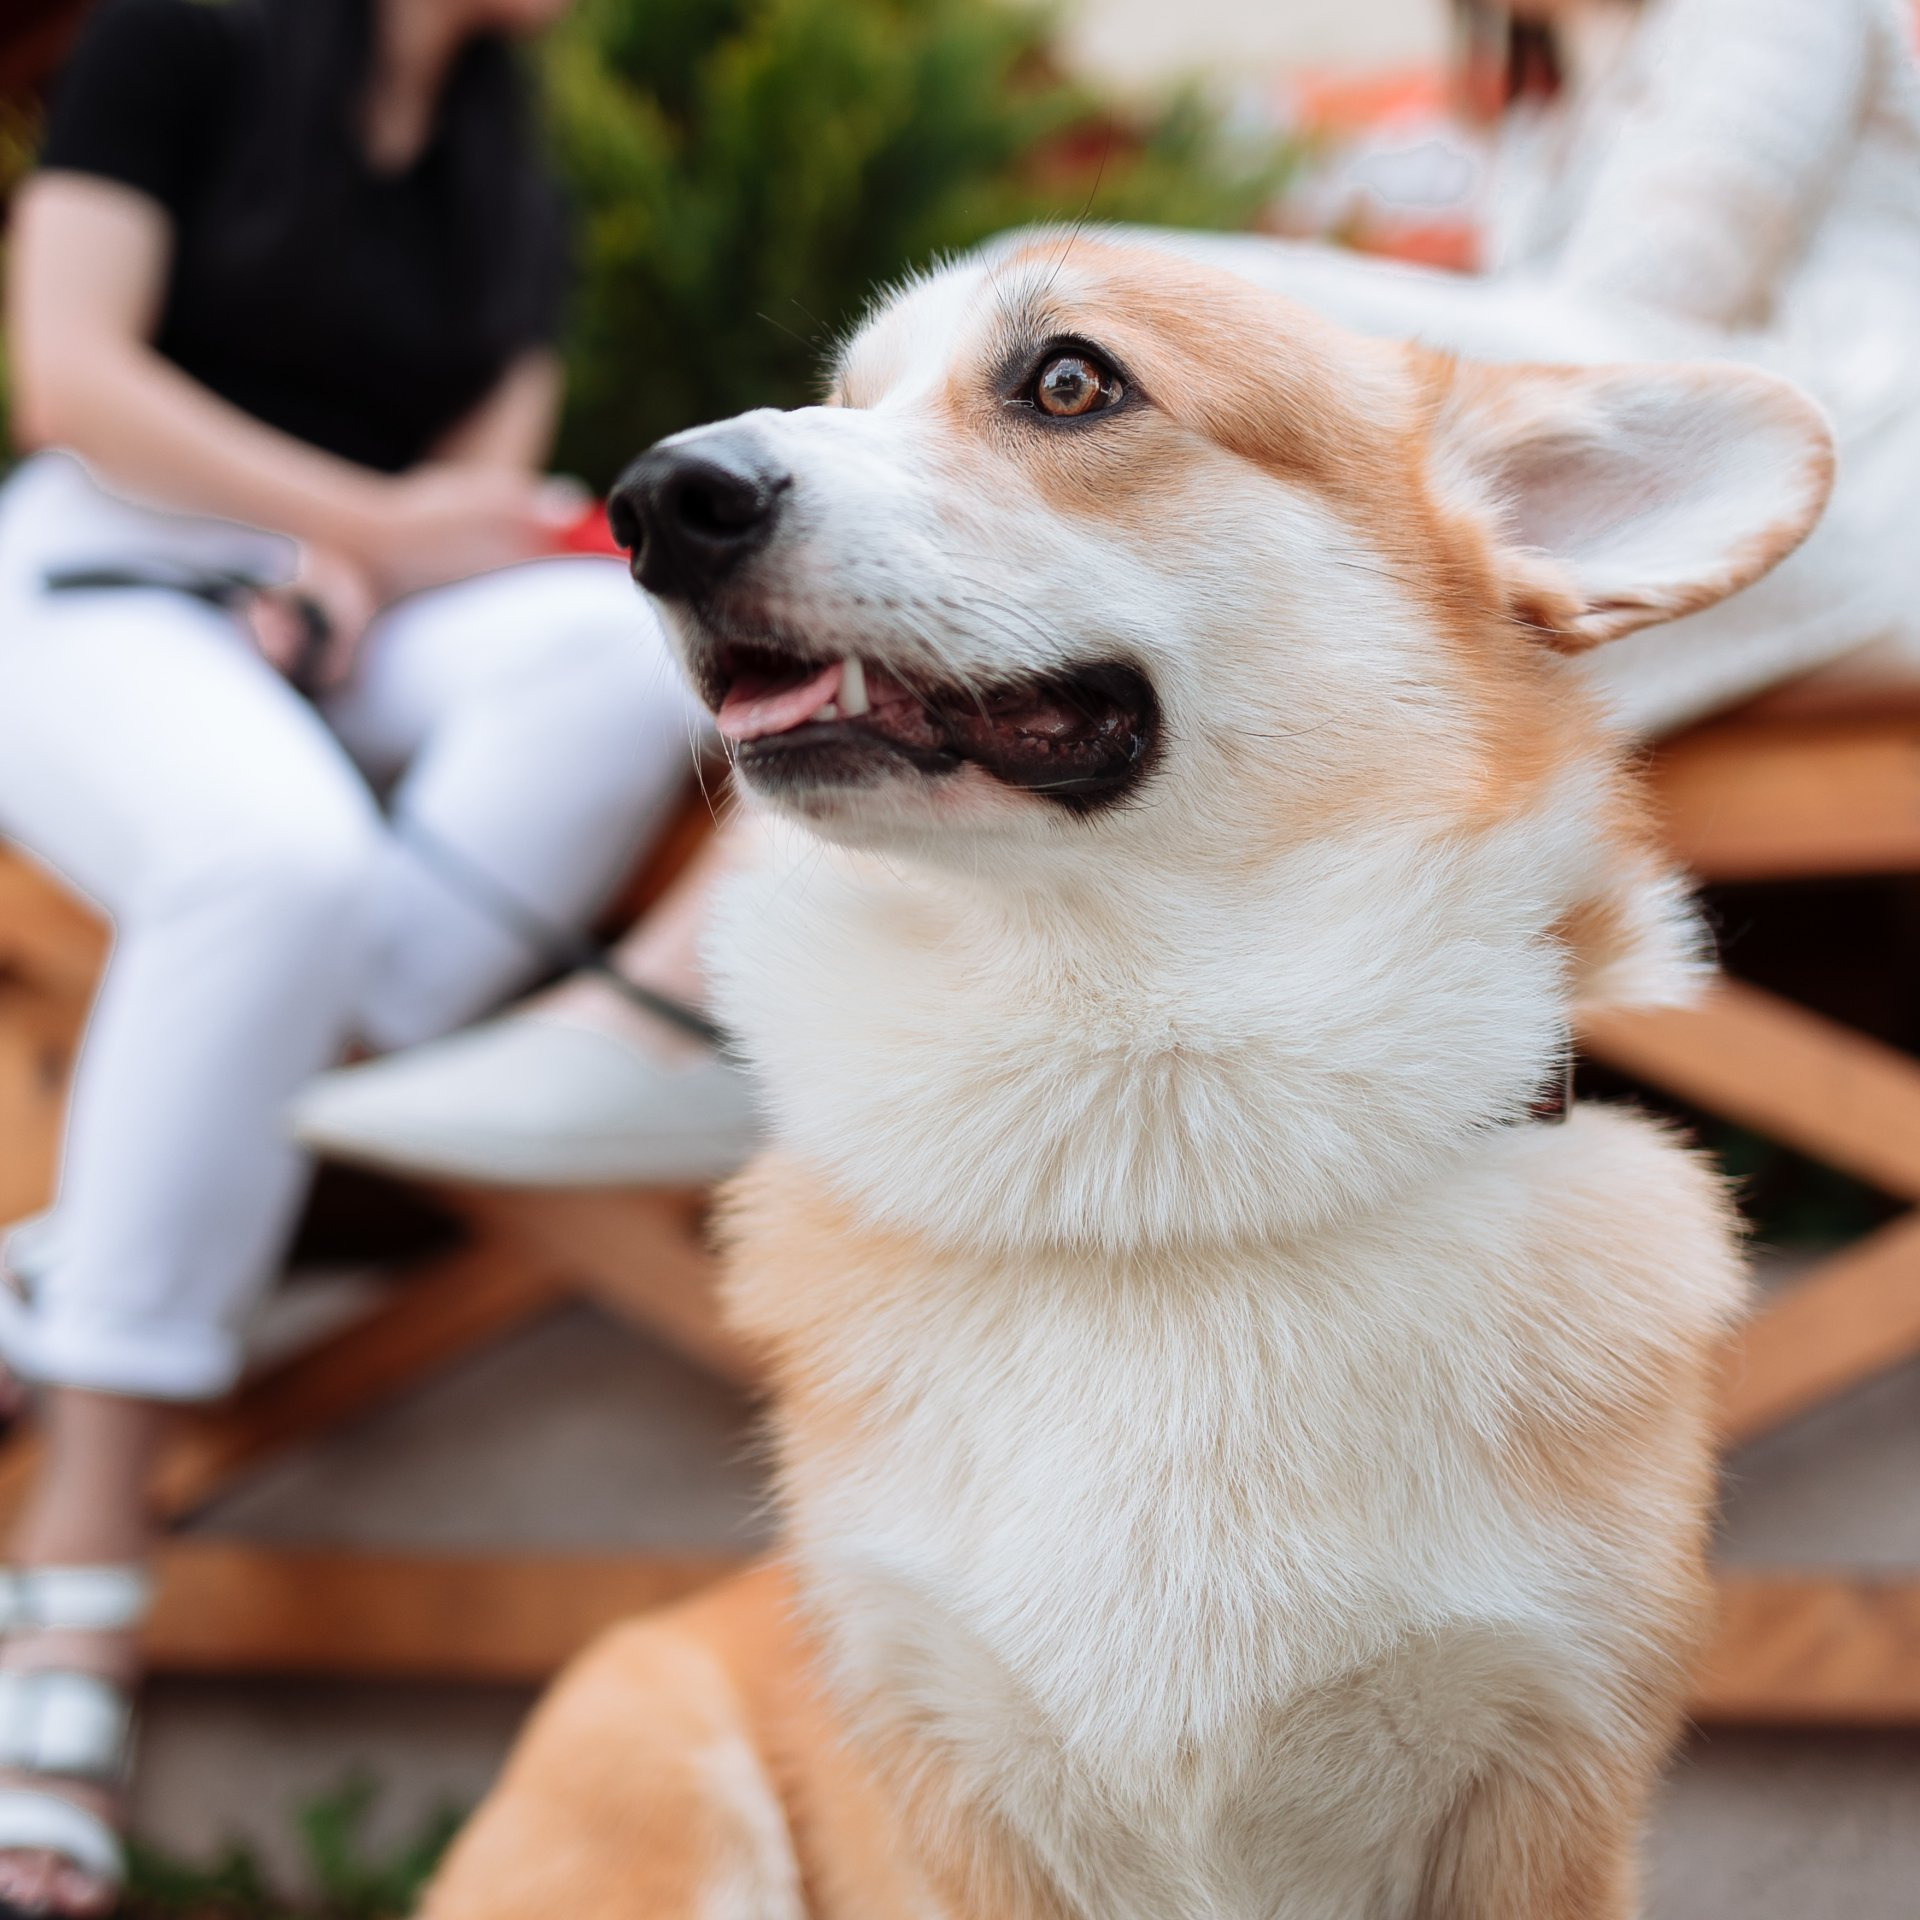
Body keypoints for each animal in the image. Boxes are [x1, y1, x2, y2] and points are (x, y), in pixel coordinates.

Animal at [420, 240, 1827, 1920]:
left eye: (1072, 382)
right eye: (849, 397)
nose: (655, 499)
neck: (1154, 1172)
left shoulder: (1545, 1774)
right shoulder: (956, 1786)